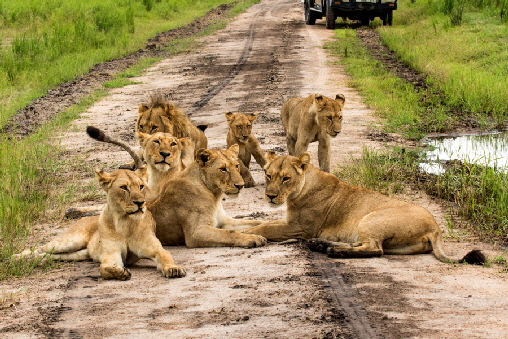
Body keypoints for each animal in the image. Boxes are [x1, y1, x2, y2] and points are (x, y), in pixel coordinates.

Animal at [14, 168, 188, 282]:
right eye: (124, 187)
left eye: (141, 186)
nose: (140, 203)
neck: (124, 222)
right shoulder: (112, 254)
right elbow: (103, 268)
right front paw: (119, 272)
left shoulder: (154, 248)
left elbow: (165, 256)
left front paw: (173, 269)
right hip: (70, 241)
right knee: (39, 248)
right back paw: (16, 258)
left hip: (78, 254)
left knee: (51, 255)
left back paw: (34, 260)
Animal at [244, 151, 486, 266]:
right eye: (268, 175)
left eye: (285, 178)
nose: (270, 196)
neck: (300, 190)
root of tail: (435, 227)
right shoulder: (291, 223)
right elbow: (262, 222)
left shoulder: (300, 228)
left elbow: (265, 228)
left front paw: (247, 234)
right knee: (365, 245)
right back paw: (322, 245)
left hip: (370, 219)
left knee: (375, 249)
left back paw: (334, 251)